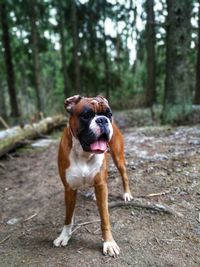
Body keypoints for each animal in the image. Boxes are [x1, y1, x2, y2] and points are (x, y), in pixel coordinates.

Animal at [53, 96, 133, 258]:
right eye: (86, 115)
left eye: (109, 114)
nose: (103, 120)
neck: (84, 153)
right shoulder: (69, 189)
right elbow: (68, 217)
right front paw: (64, 236)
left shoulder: (101, 184)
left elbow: (105, 218)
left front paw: (109, 243)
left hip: (118, 159)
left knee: (124, 176)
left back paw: (126, 194)